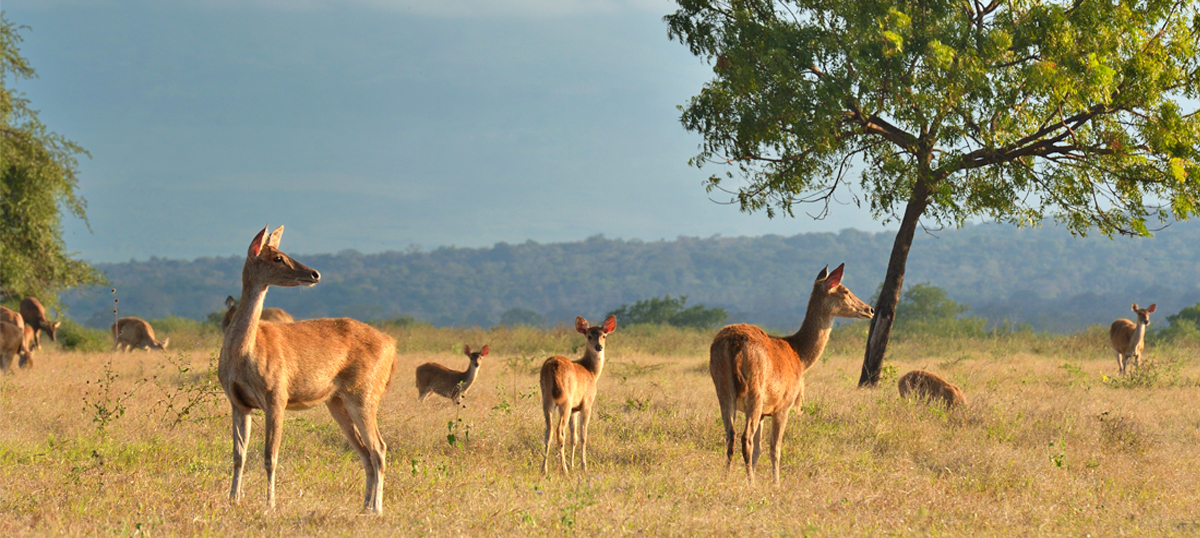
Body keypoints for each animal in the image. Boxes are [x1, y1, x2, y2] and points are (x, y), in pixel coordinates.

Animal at [220, 224, 398, 513]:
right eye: (277, 257)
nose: (315, 273)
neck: (243, 353)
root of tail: (392, 347)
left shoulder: (276, 395)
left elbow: (270, 456)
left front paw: (270, 504)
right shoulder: (238, 401)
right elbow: (239, 455)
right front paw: (233, 499)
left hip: (365, 392)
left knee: (379, 448)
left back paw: (376, 508)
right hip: (336, 401)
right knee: (365, 452)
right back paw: (364, 507)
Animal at [544, 314, 619, 475]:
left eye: (604, 335)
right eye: (589, 336)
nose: (599, 347)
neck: (591, 370)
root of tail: (553, 367)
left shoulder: (574, 409)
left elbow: (574, 437)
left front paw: (573, 465)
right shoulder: (586, 404)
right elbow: (583, 436)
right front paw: (583, 466)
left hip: (546, 399)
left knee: (548, 431)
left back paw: (544, 469)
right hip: (565, 400)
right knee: (559, 431)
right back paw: (564, 470)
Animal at [710, 262, 873, 485]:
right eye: (846, 291)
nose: (870, 309)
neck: (800, 356)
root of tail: (734, 342)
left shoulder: (765, 412)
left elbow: (760, 449)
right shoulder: (783, 406)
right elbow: (774, 448)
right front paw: (776, 483)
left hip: (723, 388)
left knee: (730, 434)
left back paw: (725, 479)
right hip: (755, 389)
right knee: (746, 437)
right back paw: (751, 484)